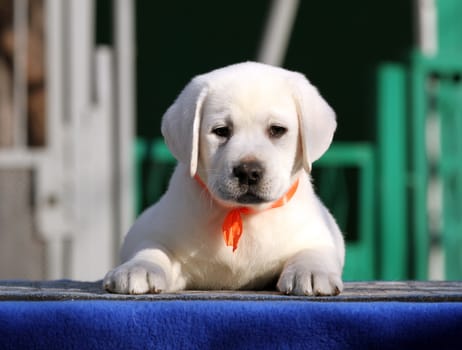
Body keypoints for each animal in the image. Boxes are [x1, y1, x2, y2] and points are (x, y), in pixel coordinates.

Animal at [104, 62, 342, 296]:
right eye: (221, 131)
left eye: (277, 130)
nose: (248, 171)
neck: (243, 214)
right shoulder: (148, 228)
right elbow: (151, 246)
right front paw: (138, 268)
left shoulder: (318, 232)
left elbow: (313, 250)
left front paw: (311, 271)